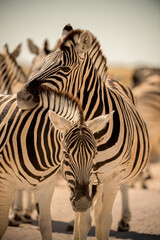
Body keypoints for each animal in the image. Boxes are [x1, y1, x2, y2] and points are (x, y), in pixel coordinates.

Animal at [16, 24, 149, 238]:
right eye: (40, 64)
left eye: (65, 69)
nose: (21, 96)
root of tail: (112, 80)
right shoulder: (75, 173)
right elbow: (84, 220)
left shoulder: (112, 177)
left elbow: (104, 220)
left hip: (115, 176)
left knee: (120, 193)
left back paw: (124, 221)